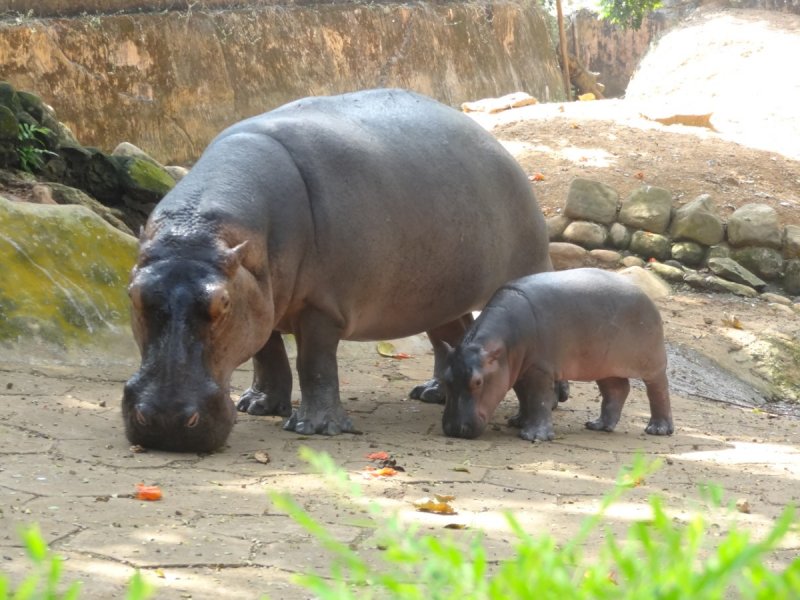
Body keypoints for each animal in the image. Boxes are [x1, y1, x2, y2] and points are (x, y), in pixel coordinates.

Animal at [122, 88, 552, 450]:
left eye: (222, 305)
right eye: (134, 295)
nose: (166, 422)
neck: (202, 231)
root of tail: (500, 149)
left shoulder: (322, 306)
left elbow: (314, 362)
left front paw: (313, 428)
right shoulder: (261, 297)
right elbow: (267, 352)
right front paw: (259, 406)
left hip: (527, 265)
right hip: (437, 296)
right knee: (453, 331)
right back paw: (432, 393)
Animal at [440, 268, 672, 440]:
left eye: (477, 382)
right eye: (445, 378)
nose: (454, 429)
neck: (503, 342)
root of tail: (644, 293)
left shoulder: (540, 369)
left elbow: (538, 399)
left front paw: (533, 436)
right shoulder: (518, 369)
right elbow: (524, 396)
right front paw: (518, 422)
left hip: (652, 362)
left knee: (658, 389)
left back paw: (658, 429)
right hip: (604, 364)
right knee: (617, 390)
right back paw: (599, 425)